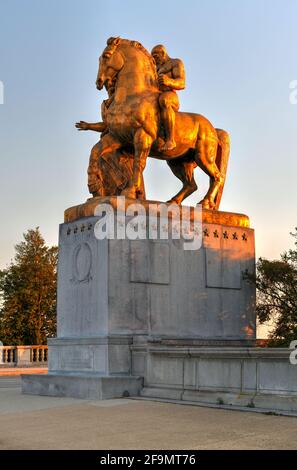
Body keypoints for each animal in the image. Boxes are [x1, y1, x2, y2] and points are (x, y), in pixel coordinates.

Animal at [95, 38, 229, 209]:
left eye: (106, 56)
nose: (99, 82)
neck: (132, 96)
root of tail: (213, 129)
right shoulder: (117, 137)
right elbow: (95, 152)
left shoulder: (142, 136)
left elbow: (139, 164)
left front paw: (129, 191)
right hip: (178, 161)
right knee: (191, 184)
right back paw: (174, 201)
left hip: (203, 156)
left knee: (217, 176)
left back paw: (205, 203)